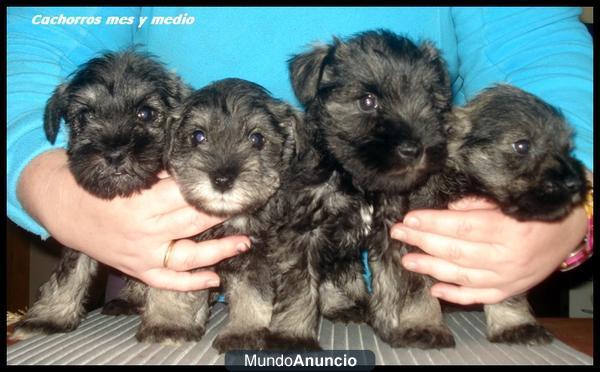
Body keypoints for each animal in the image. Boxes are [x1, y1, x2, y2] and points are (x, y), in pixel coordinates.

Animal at [12, 50, 190, 342]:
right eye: (85, 116)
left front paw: (168, 322)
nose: (114, 154)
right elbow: (68, 274)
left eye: (145, 113)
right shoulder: (82, 236)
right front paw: (49, 316)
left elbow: (173, 280)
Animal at [290, 29, 454, 348]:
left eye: (429, 100)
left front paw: (394, 326)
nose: (413, 149)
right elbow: (301, 291)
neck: (355, 180)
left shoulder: (390, 234)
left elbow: (392, 282)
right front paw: (292, 337)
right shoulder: (304, 233)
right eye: (367, 102)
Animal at [410, 83, 588, 342]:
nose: (575, 183)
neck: (466, 186)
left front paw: (514, 324)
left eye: (567, 148)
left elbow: (506, 293)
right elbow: (416, 287)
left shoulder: (501, 265)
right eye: (522, 145)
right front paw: (423, 325)